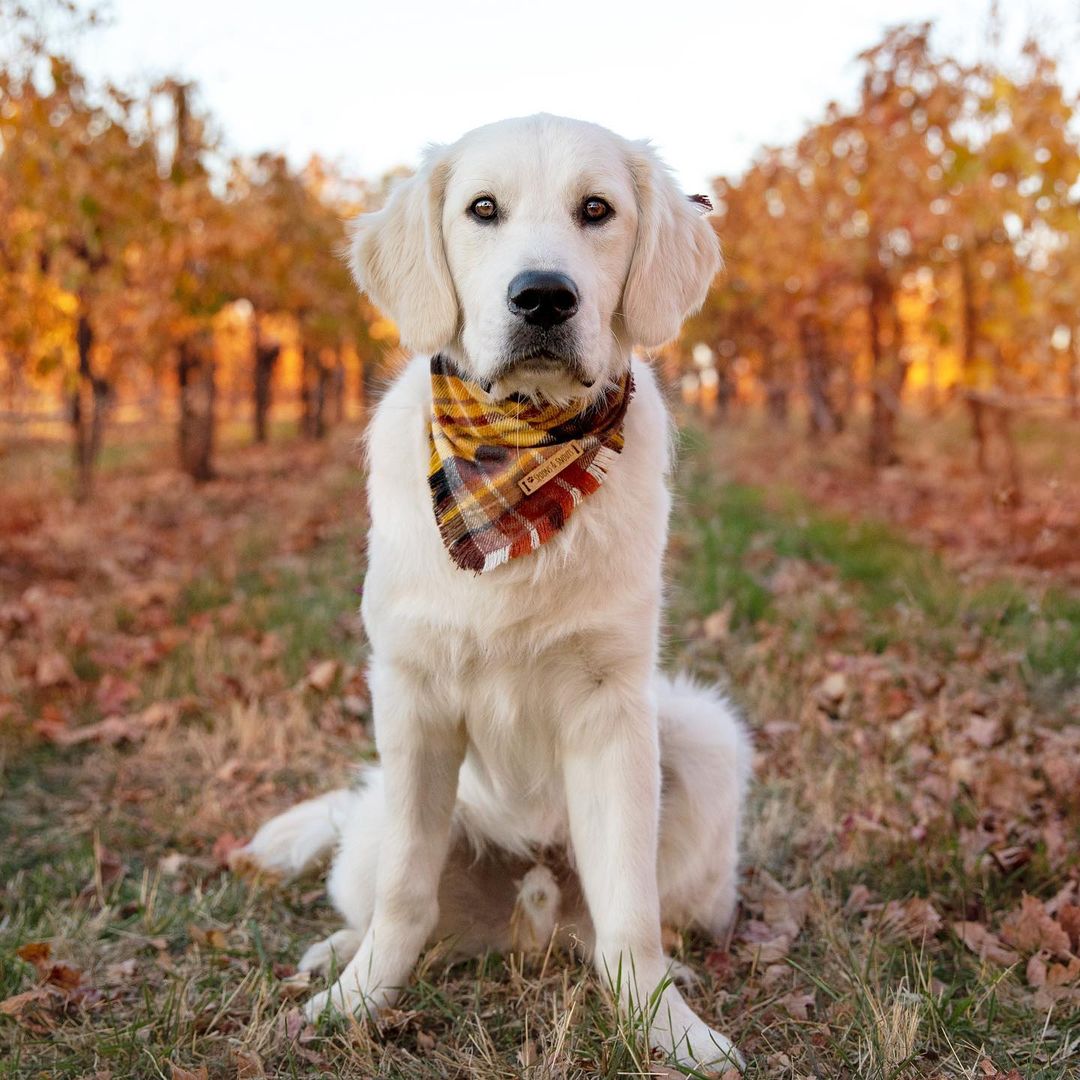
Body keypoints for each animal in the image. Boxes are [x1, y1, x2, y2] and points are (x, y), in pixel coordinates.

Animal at [238, 111, 751, 1071]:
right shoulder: (410, 699)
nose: (543, 298)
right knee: (396, 907)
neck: (517, 458)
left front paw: (668, 1029)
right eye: (483, 209)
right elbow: (405, 894)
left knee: (616, 928)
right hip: (376, 821)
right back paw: (337, 955)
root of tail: (532, 913)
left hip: (702, 736)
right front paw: (355, 1004)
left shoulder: (613, 706)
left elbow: (630, 917)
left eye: (598, 209)